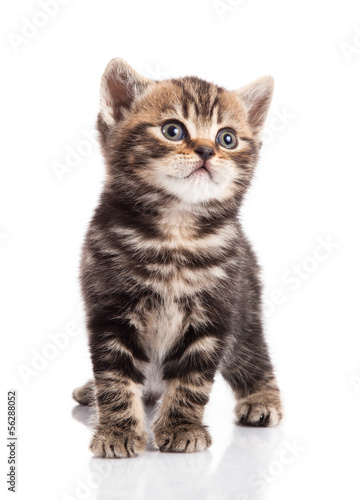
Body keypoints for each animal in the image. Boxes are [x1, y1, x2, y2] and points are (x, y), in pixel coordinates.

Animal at [72, 58, 282, 458]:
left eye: (227, 138)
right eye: (173, 130)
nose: (206, 151)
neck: (176, 233)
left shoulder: (215, 316)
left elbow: (192, 379)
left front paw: (182, 427)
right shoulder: (110, 311)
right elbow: (114, 377)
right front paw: (117, 431)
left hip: (246, 310)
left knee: (253, 354)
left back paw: (262, 399)